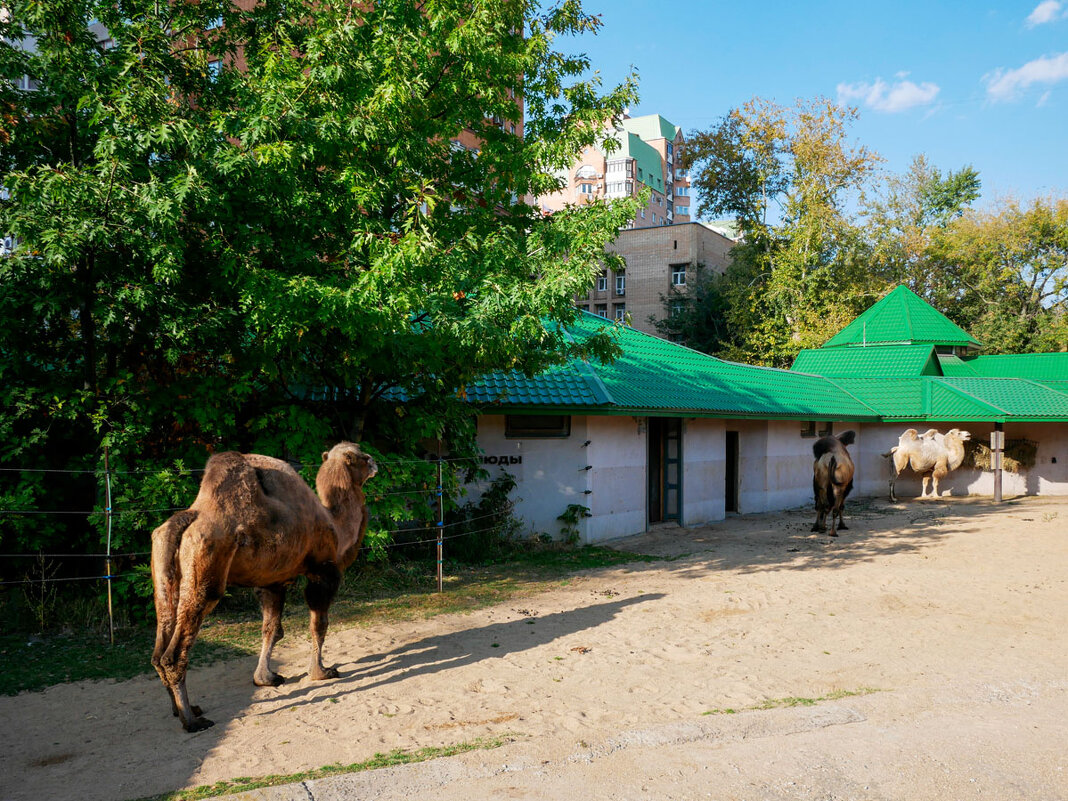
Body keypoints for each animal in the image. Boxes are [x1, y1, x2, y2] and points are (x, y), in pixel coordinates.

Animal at [152, 446, 378, 734]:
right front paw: (321, 672)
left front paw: (265, 678)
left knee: (159, 647)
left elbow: (272, 629)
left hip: (164, 573)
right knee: (174, 652)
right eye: (361, 456)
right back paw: (192, 721)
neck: (336, 524)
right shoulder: (322, 571)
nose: (375, 463)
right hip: (205, 566)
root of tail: (189, 515)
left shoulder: (271, 582)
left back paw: (183, 709)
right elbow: (319, 625)